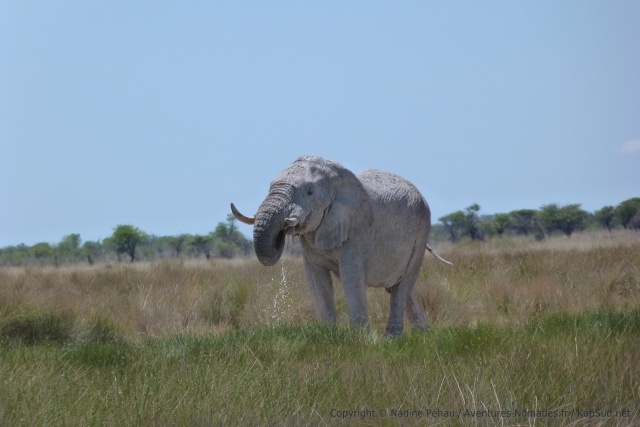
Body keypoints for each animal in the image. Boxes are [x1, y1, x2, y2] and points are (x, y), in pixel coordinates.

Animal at [231, 156, 451, 336]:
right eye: (270, 187)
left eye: (309, 192)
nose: (284, 229)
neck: (335, 180)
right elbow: (317, 281)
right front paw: (328, 335)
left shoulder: (357, 230)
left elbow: (351, 278)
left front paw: (361, 341)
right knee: (403, 286)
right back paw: (422, 334)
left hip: (421, 232)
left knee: (403, 284)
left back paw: (392, 339)